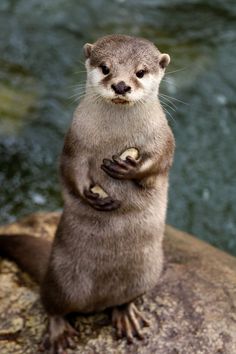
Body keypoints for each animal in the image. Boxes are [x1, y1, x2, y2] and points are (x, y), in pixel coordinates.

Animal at [0, 34, 175, 354]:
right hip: (60, 281)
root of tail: (98, 302)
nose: (121, 85)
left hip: (148, 273)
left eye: (140, 72)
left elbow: (158, 162)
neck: (116, 135)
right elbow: (70, 168)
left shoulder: (164, 136)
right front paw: (88, 194)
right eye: (105, 68)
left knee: (123, 299)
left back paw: (126, 314)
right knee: (52, 305)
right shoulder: (74, 139)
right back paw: (58, 332)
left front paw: (129, 169)